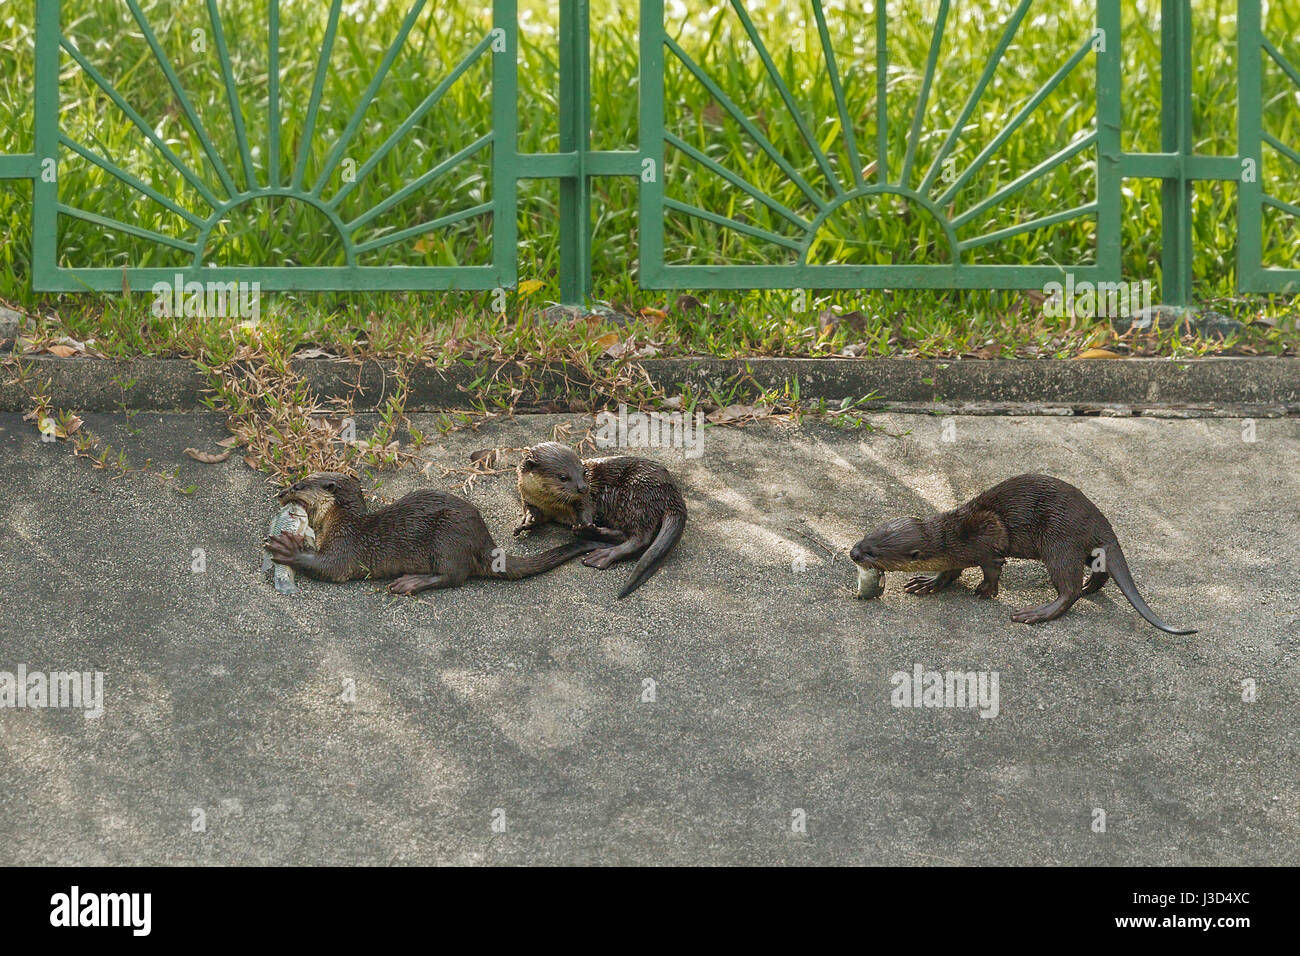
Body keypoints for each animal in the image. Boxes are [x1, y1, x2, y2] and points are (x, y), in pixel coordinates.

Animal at [265, 468, 598, 590]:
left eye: (298, 485)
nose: (281, 493)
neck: (342, 522)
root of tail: (484, 540)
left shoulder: (346, 546)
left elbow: (329, 567)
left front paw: (286, 549)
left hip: (447, 538)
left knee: (453, 576)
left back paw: (409, 582)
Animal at [512, 442, 686, 598]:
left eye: (583, 472)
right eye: (563, 477)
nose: (583, 488)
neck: (551, 503)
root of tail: (671, 492)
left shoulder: (584, 499)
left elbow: (586, 509)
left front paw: (585, 525)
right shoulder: (529, 499)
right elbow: (533, 513)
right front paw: (526, 522)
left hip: (636, 495)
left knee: (640, 539)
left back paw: (599, 550)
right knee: (626, 535)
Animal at [852, 473, 1196, 634]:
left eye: (873, 552)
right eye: (866, 536)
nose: (854, 551)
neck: (952, 538)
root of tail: (1098, 519)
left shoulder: (985, 542)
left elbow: (991, 569)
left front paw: (985, 592)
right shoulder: (954, 555)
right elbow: (949, 572)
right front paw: (927, 583)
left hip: (1059, 542)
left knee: (1068, 589)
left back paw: (1037, 612)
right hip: (1081, 546)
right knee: (1098, 569)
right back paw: (1090, 587)